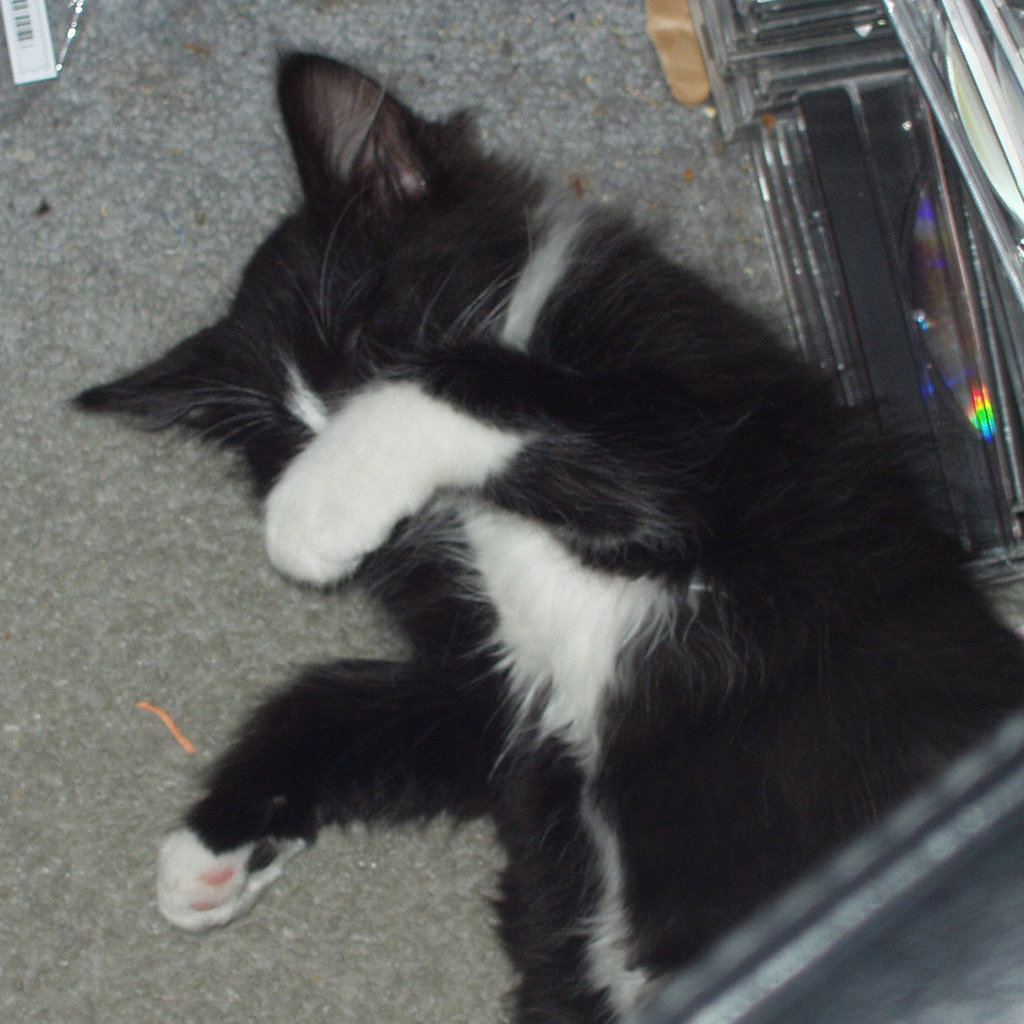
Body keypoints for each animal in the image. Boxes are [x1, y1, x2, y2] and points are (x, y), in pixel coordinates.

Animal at [77, 53, 1024, 1023]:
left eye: (370, 341)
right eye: (284, 437)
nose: (321, 455)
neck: (476, 518)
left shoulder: (716, 454)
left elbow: (484, 377)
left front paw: (316, 510)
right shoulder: (496, 696)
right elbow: (330, 703)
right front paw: (211, 847)